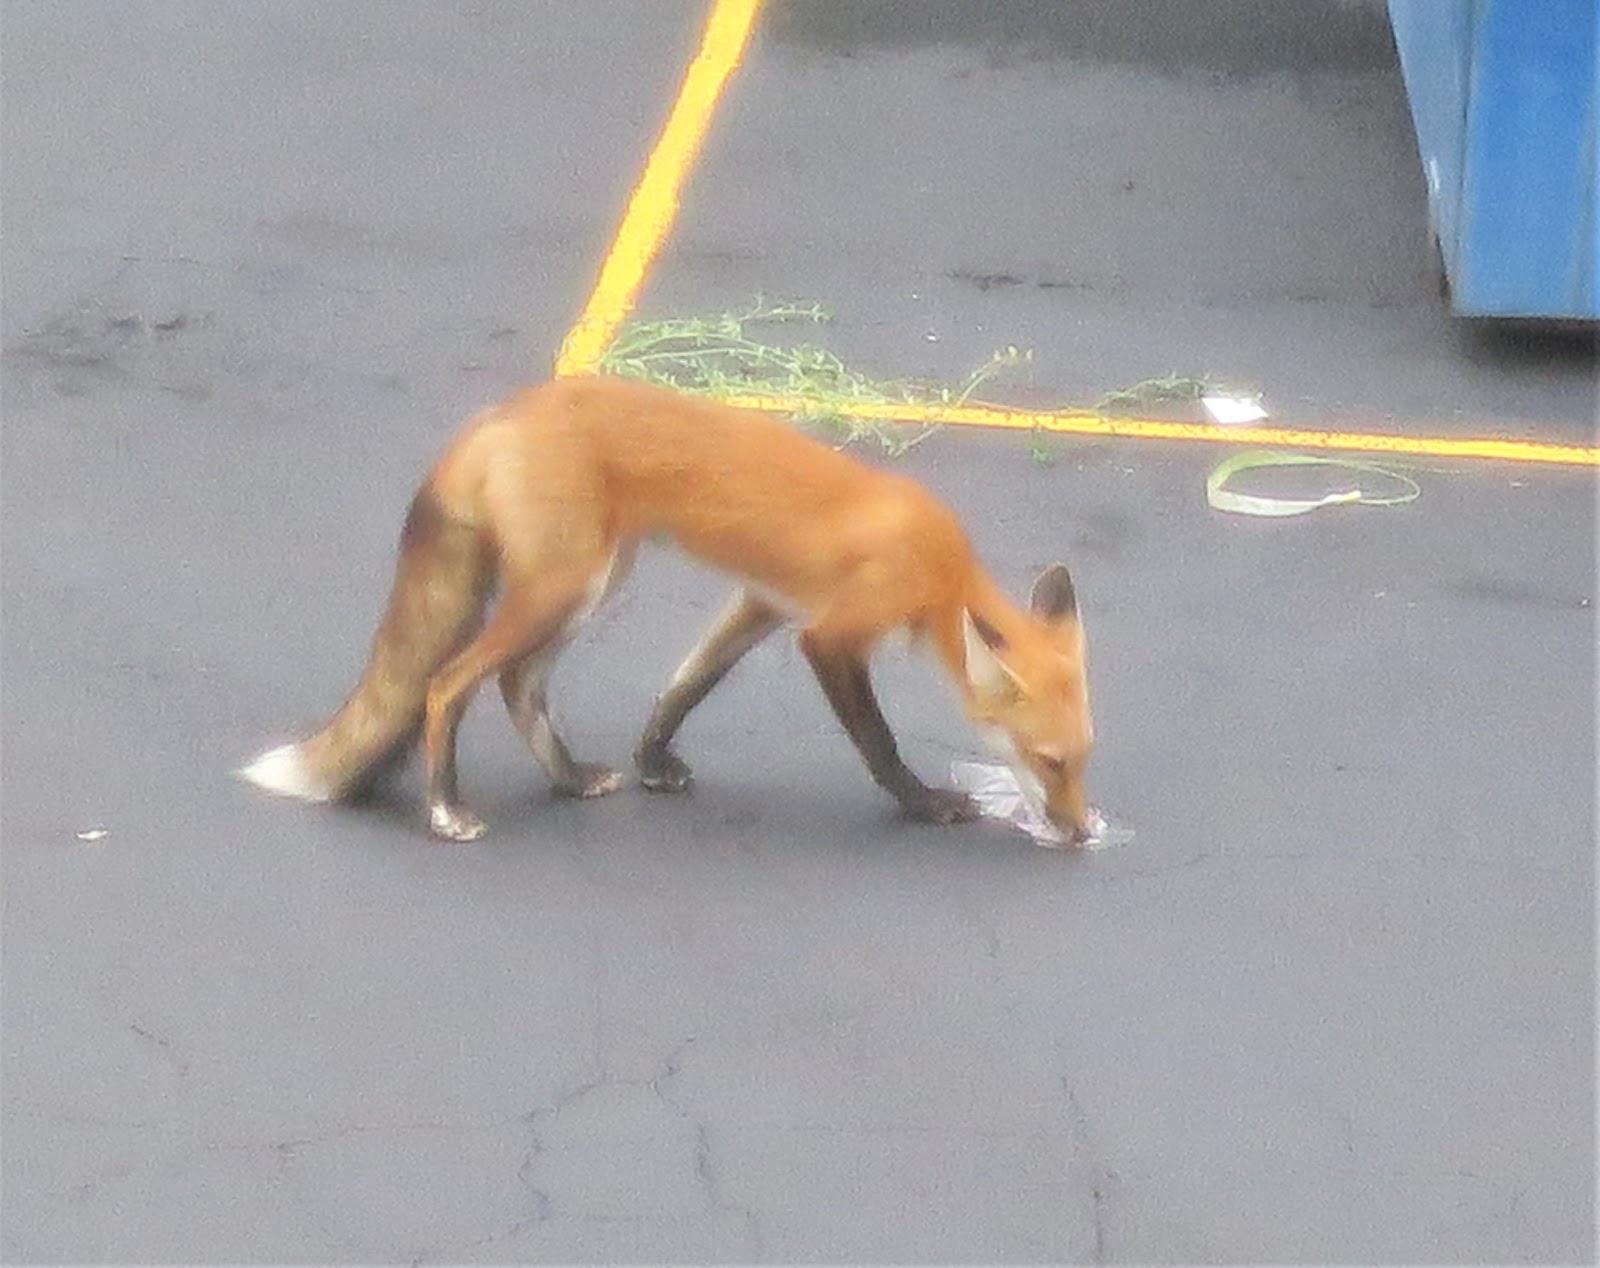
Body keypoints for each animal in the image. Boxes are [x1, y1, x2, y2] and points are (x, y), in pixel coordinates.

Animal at [239, 376, 1094, 844]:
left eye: (1084, 762)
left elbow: (684, 687)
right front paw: (926, 804)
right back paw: (447, 811)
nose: (1082, 829)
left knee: (518, 684)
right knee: (448, 684)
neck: (941, 567)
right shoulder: (832, 634)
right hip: (563, 588)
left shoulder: (760, 603)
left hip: (593, 584)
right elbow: (878, 741)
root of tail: (498, 415)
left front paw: (653, 761)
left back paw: (570, 779)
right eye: (1049, 762)